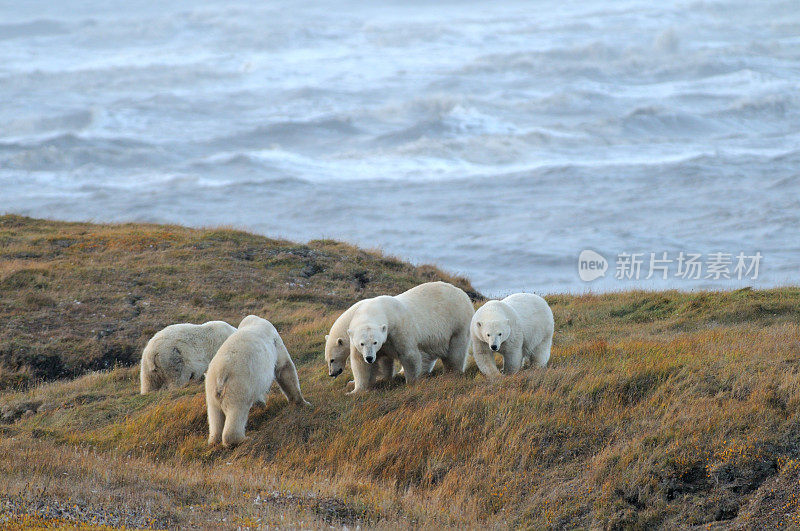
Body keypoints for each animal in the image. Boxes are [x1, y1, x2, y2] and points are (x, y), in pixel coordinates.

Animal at [205, 316, 308, 448]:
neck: (253, 322)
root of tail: (220, 375)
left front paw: (262, 403)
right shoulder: (275, 341)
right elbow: (284, 368)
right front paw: (302, 402)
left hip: (211, 390)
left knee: (214, 414)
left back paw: (214, 440)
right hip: (238, 385)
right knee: (237, 410)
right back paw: (244, 439)